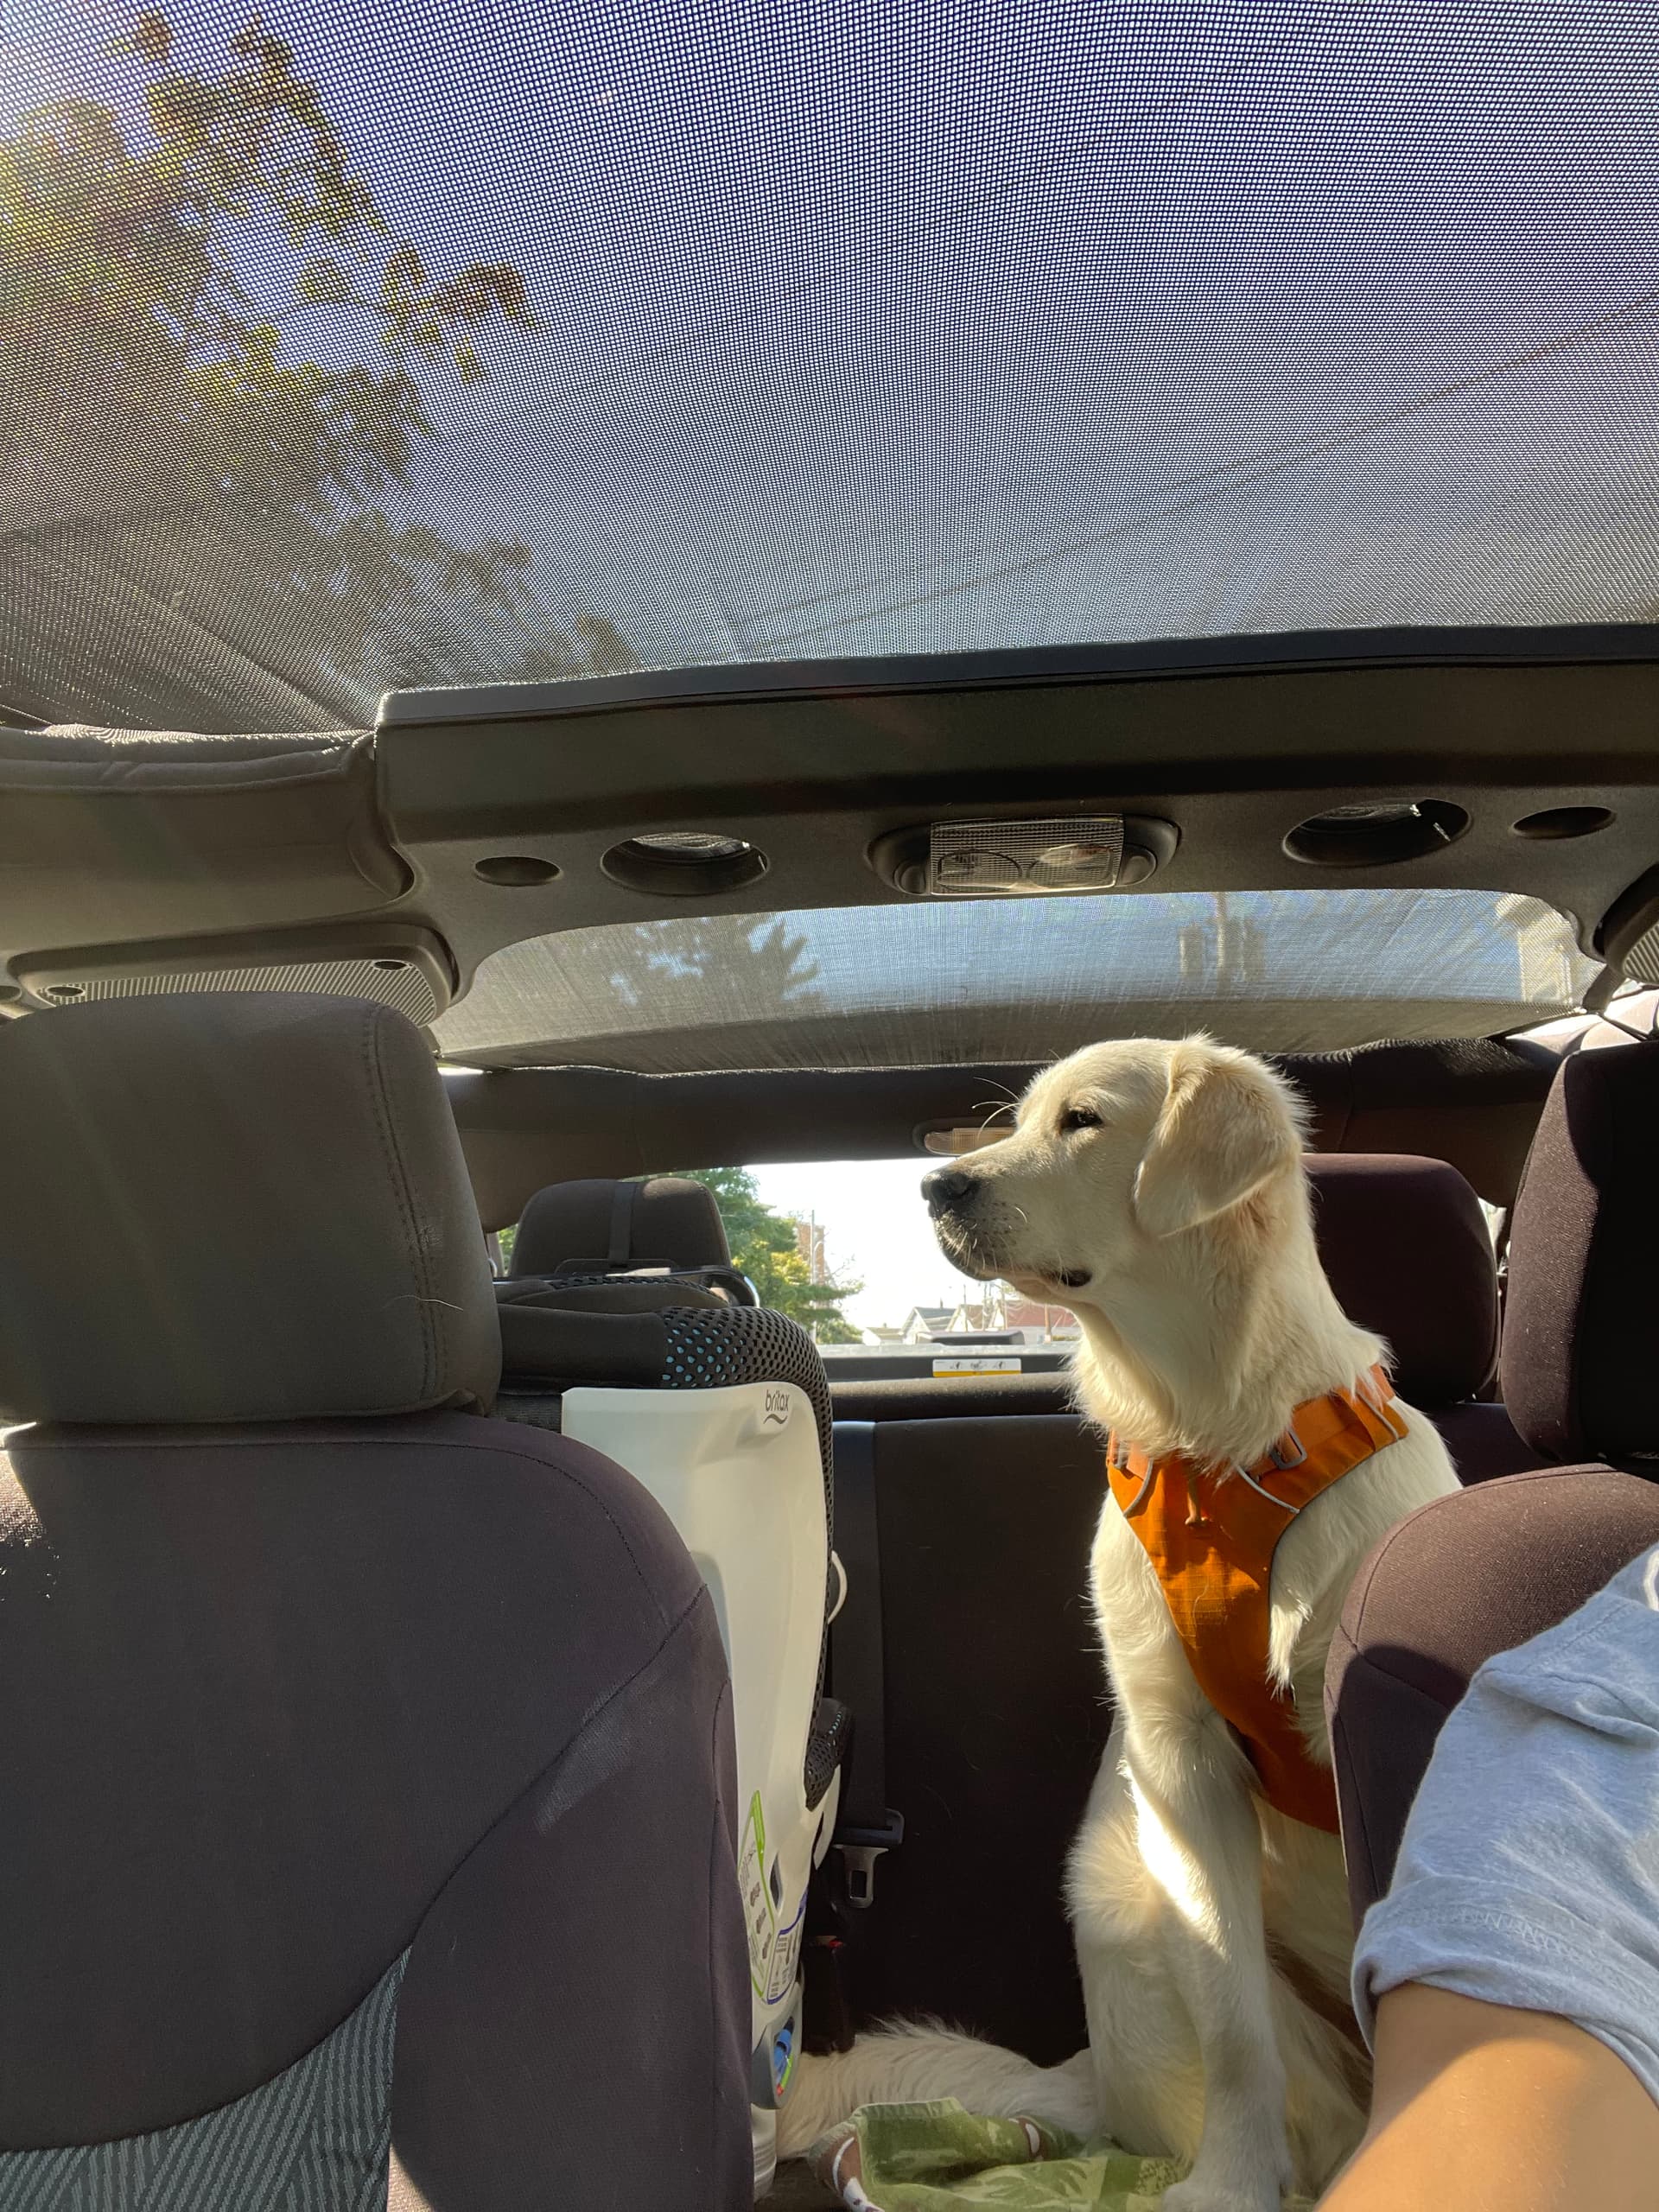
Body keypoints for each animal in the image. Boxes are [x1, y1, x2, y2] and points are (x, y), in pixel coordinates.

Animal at [781, 1037, 1460, 2210]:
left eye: (1084, 1120)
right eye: (1017, 1121)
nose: (936, 1188)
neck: (1213, 1440)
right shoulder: (1179, 1761)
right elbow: (1237, 2031)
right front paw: (1230, 2184)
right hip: (1125, 1895)